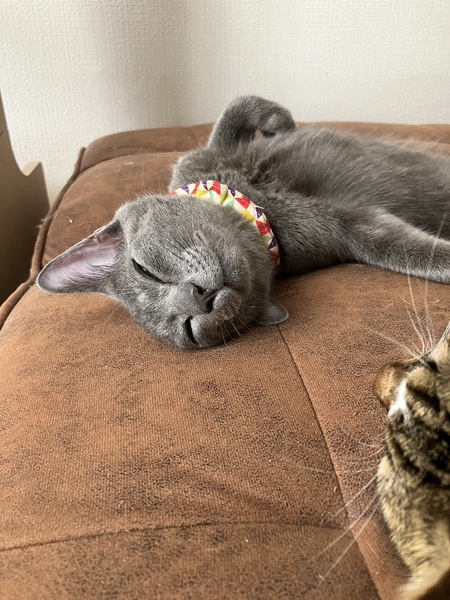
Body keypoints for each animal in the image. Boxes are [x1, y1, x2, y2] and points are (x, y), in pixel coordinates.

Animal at [37, 95, 450, 349]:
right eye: (190, 331)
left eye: (145, 270)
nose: (198, 299)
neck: (257, 206)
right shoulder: (349, 227)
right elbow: (410, 251)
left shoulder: (204, 155)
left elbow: (235, 109)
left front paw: (280, 123)